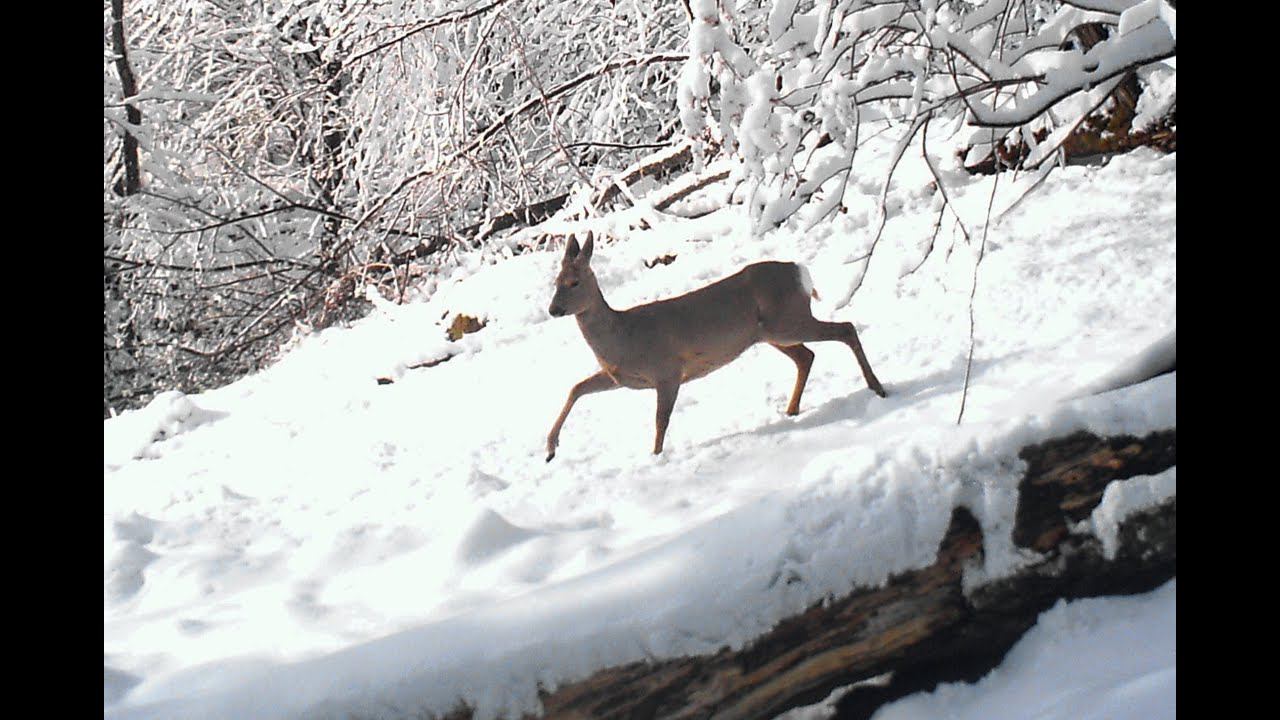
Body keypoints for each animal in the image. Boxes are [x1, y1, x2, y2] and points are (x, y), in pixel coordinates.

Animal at [542, 234, 890, 458]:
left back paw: (878, 388)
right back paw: (791, 410)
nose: (553, 309)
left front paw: (655, 457)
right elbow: (576, 388)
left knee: (845, 329)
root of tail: (799, 270)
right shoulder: (620, 377)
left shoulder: (668, 371)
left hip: (788, 321)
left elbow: (660, 419)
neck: (623, 336)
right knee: (807, 355)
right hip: (773, 333)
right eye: (555, 282)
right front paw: (550, 448)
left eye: (574, 282)